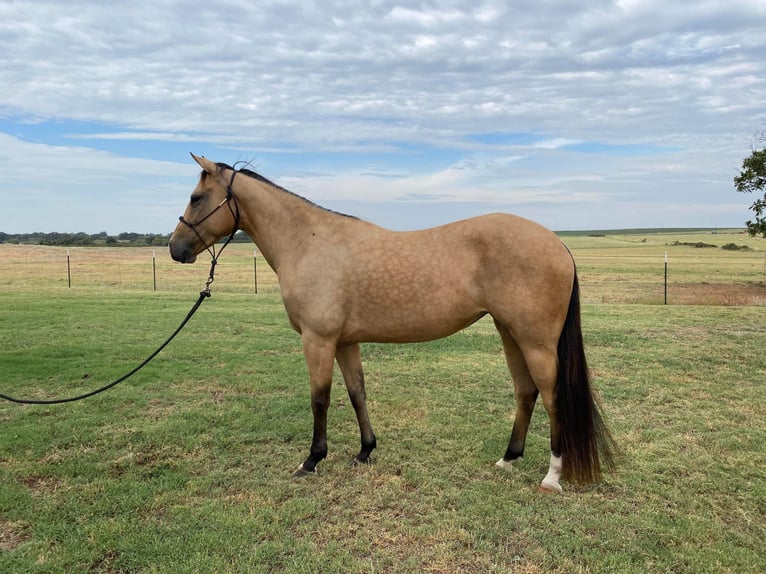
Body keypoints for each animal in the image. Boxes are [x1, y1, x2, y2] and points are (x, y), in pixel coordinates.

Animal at [171, 154, 616, 496]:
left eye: (196, 198)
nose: (176, 249)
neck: (309, 241)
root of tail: (558, 243)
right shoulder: (345, 341)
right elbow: (357, 394)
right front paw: (365, 451)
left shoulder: (319, 340)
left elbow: (320, 399)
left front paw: (311, 461)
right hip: (510, 334)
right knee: (526, 391)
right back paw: (508, 459)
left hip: (536, 341)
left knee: (552, 396)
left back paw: (551, 476)